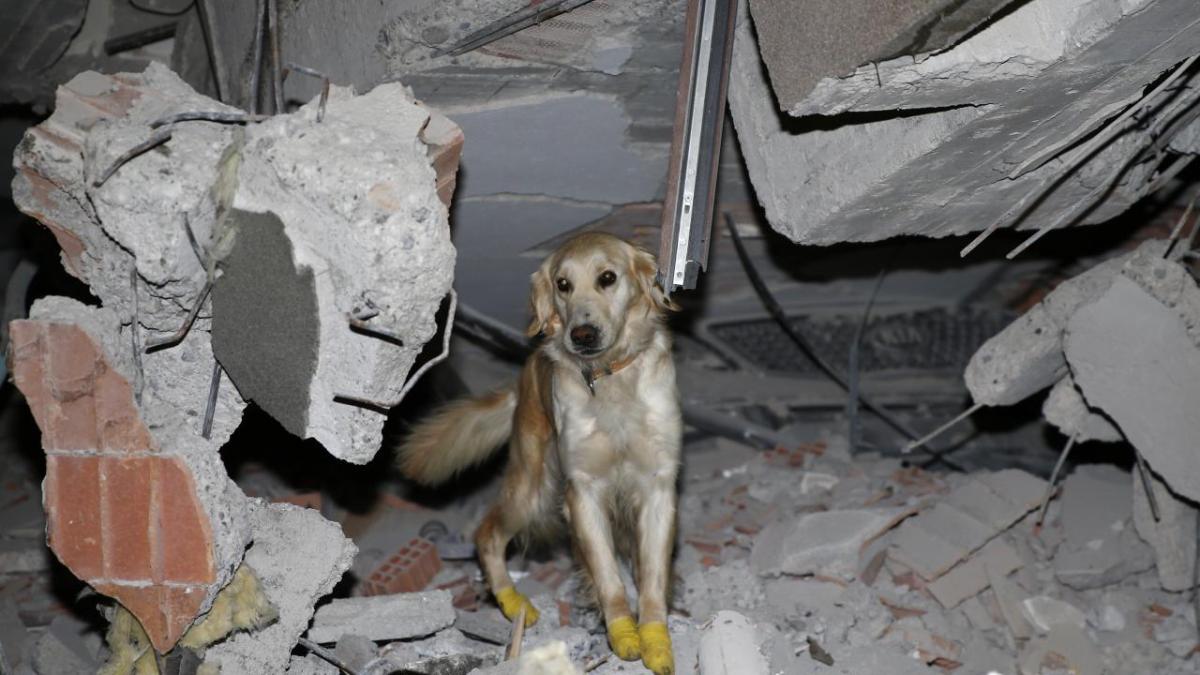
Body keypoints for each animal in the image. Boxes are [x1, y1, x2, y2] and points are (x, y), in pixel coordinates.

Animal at [397, 232, 681, 675]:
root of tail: (524, 376)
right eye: (563, 284)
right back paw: (512, 601)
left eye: (607, 277)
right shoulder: (582, 491)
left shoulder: (658, 487)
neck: (610, 378)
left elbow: (652, 577)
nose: (581, 335)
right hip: (533, 487)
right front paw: (623, 632)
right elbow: (607, 576)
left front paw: (655, 639)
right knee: (487, 534)